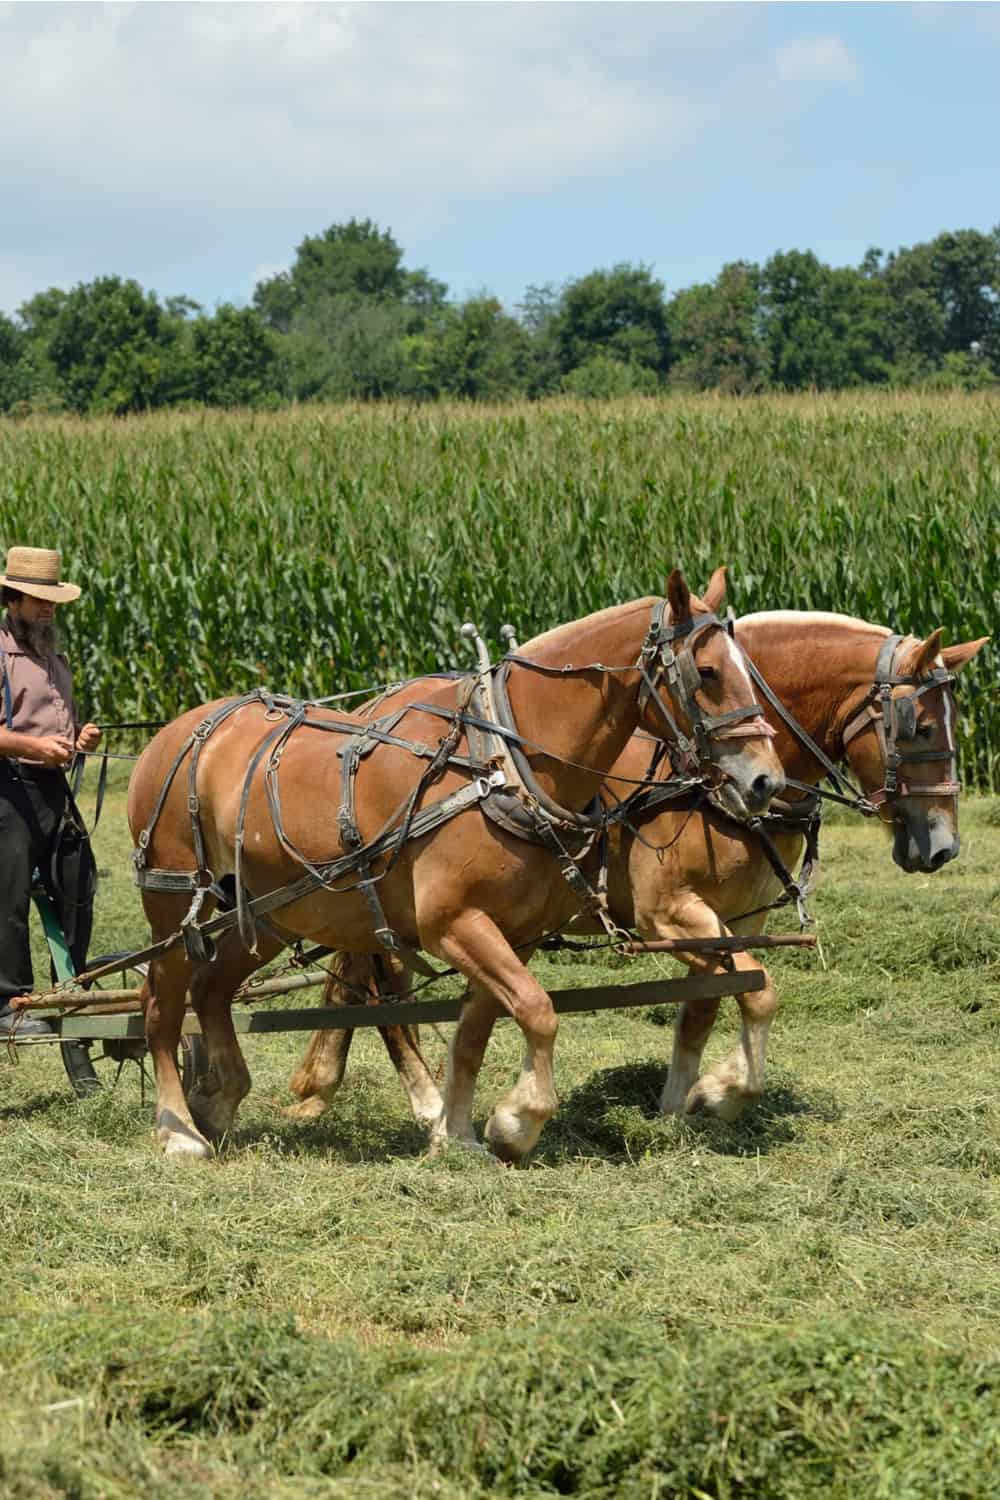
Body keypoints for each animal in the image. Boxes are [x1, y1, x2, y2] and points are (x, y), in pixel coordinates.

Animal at [127, 568, 784, 1160]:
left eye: (749, 670)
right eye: (707, 672)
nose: (767, 781)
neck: (502, 765)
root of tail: (175, 731)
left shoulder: (513, 934)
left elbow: (477, 1031)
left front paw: (462, 1135)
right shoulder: (453, 923)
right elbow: (539, 1011)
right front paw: (518, 1122)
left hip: (268, 914)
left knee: (211, 990)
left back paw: (218, 1100)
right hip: (172, 904)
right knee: (162, 1006)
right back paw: (178, 1131)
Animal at [287, 608, 986, 1131]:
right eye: (921, 725)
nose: (942, 846)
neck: (704, 786)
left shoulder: (735, 921)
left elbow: (708, 1006)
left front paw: (681, 1103)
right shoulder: (671, 915)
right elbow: (759, 990)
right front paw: (723, 1091)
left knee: (356, 981)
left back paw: (324, 1088)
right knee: (382, 991)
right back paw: (424, 1104)